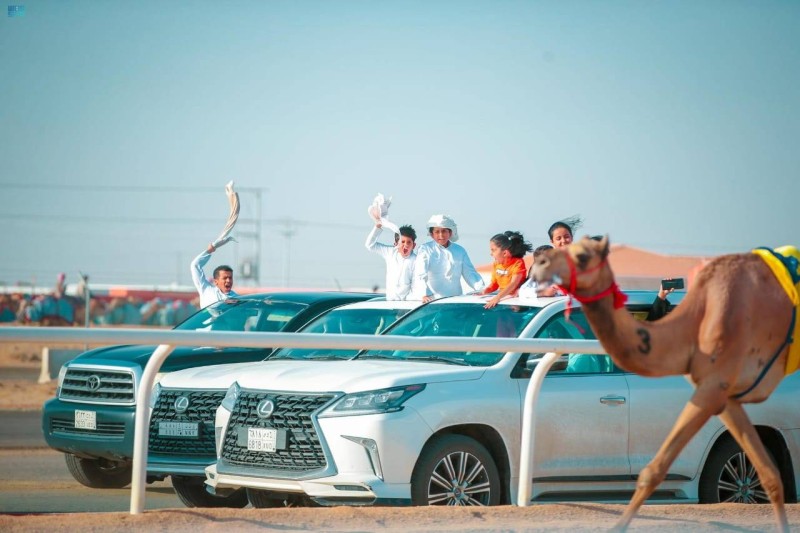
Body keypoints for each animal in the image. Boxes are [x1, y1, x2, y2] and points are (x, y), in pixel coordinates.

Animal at [532, 236, 800, 532]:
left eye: (581, 256)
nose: (539, 263)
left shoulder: (712, 386)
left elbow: (653, 470)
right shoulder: (724, 395)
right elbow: (770, 475)